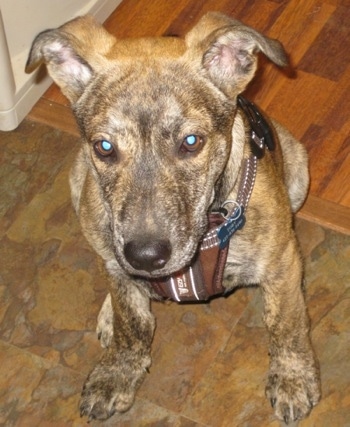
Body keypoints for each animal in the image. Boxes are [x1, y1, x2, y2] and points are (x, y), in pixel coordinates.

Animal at [26, 11, 322, 422]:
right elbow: (131, 321)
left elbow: (286, 322)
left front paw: (292, 377)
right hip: (77, 182)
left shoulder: (279, 261)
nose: (146, 257)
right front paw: (117, 372)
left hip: (297, 170)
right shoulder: (116, 256)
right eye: (105, 147)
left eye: (191, 142)